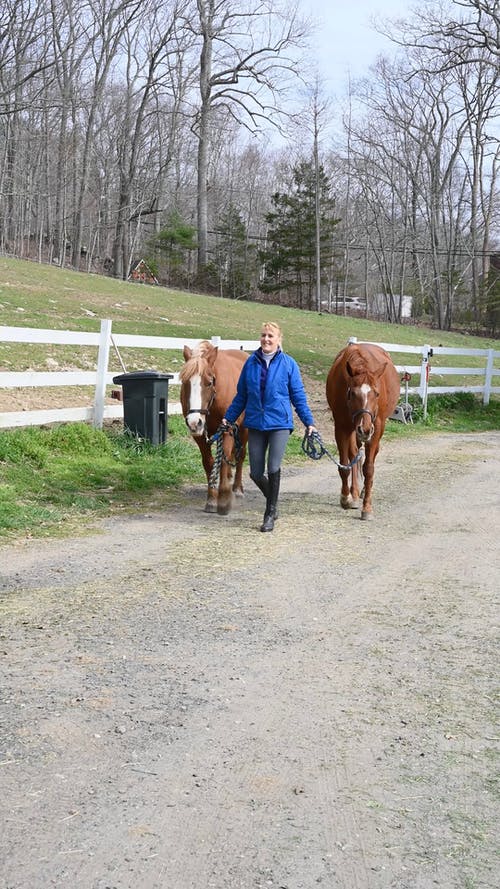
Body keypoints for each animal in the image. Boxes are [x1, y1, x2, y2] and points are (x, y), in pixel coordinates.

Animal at [181, 344, 249, 516]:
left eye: (209, 382)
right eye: (185, 382)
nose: (194, 422)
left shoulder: (227, 429)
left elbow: (224, 460)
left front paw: (223, 498)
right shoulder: (200, 436)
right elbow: (209, 462)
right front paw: (212, 498)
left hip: (244, 429)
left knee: (240, 457)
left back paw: (237, 489)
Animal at [326, 340, 400, 520]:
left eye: (377, 393)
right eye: (352, 393)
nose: (365, 429)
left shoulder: (376, 428)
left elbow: (369, 469)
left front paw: (367, 508)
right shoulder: (341, 427)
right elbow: (345, 465)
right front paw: (345, 497)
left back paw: (364, 491)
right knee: (354, 454)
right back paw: (354, 494)